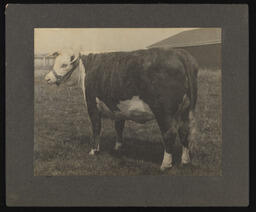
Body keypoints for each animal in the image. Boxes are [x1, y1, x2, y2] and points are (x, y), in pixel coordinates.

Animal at [45, 47, 199, 171]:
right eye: (55, 62)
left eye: (64, 64)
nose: (47, 78)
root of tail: (179, 53)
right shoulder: (117, 107)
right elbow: (118, 126)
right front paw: (118, 147)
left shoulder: (92, 104)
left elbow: (96, 128)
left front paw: (94, 150)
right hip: (185, 110)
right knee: (184, 131)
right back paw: (185, 160)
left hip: (164, 112)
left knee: (169, 133)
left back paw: (165, 164)